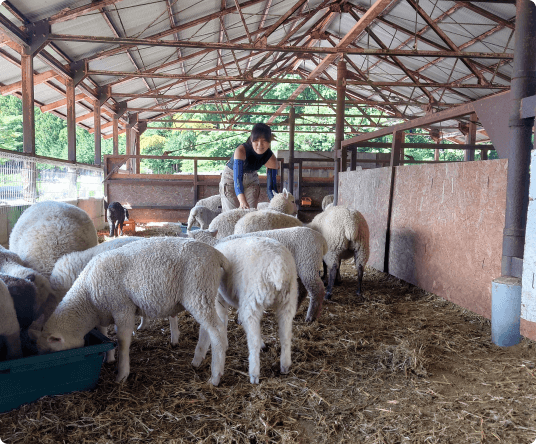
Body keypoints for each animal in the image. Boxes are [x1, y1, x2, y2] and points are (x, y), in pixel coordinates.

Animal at [37, 236, 230, 386]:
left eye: (52, 351)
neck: (87, 299)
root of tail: (217, 254)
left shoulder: (122, 309)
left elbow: (122, 341)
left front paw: (121, 374)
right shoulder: (103, 313)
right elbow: (105, 336)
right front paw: (109, 358)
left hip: (197, 291)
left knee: (217, 330)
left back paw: (215, 376)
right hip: (205, 295)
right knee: (206, 329)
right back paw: (198, 359)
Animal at [189, 236, 300, 386]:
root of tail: (278, 265)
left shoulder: (218, 300)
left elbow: (222, 321)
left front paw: (223, 345)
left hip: (252, 302)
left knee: (253, 341)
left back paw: (254, 374)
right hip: (288, 301)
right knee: (286, 336)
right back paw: (285, 366)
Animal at [192, 227, 326, 320]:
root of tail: (321, 239)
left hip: (308, 262)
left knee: (317, 289)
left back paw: (311, 317)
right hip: (301, 266)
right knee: (303, 290)